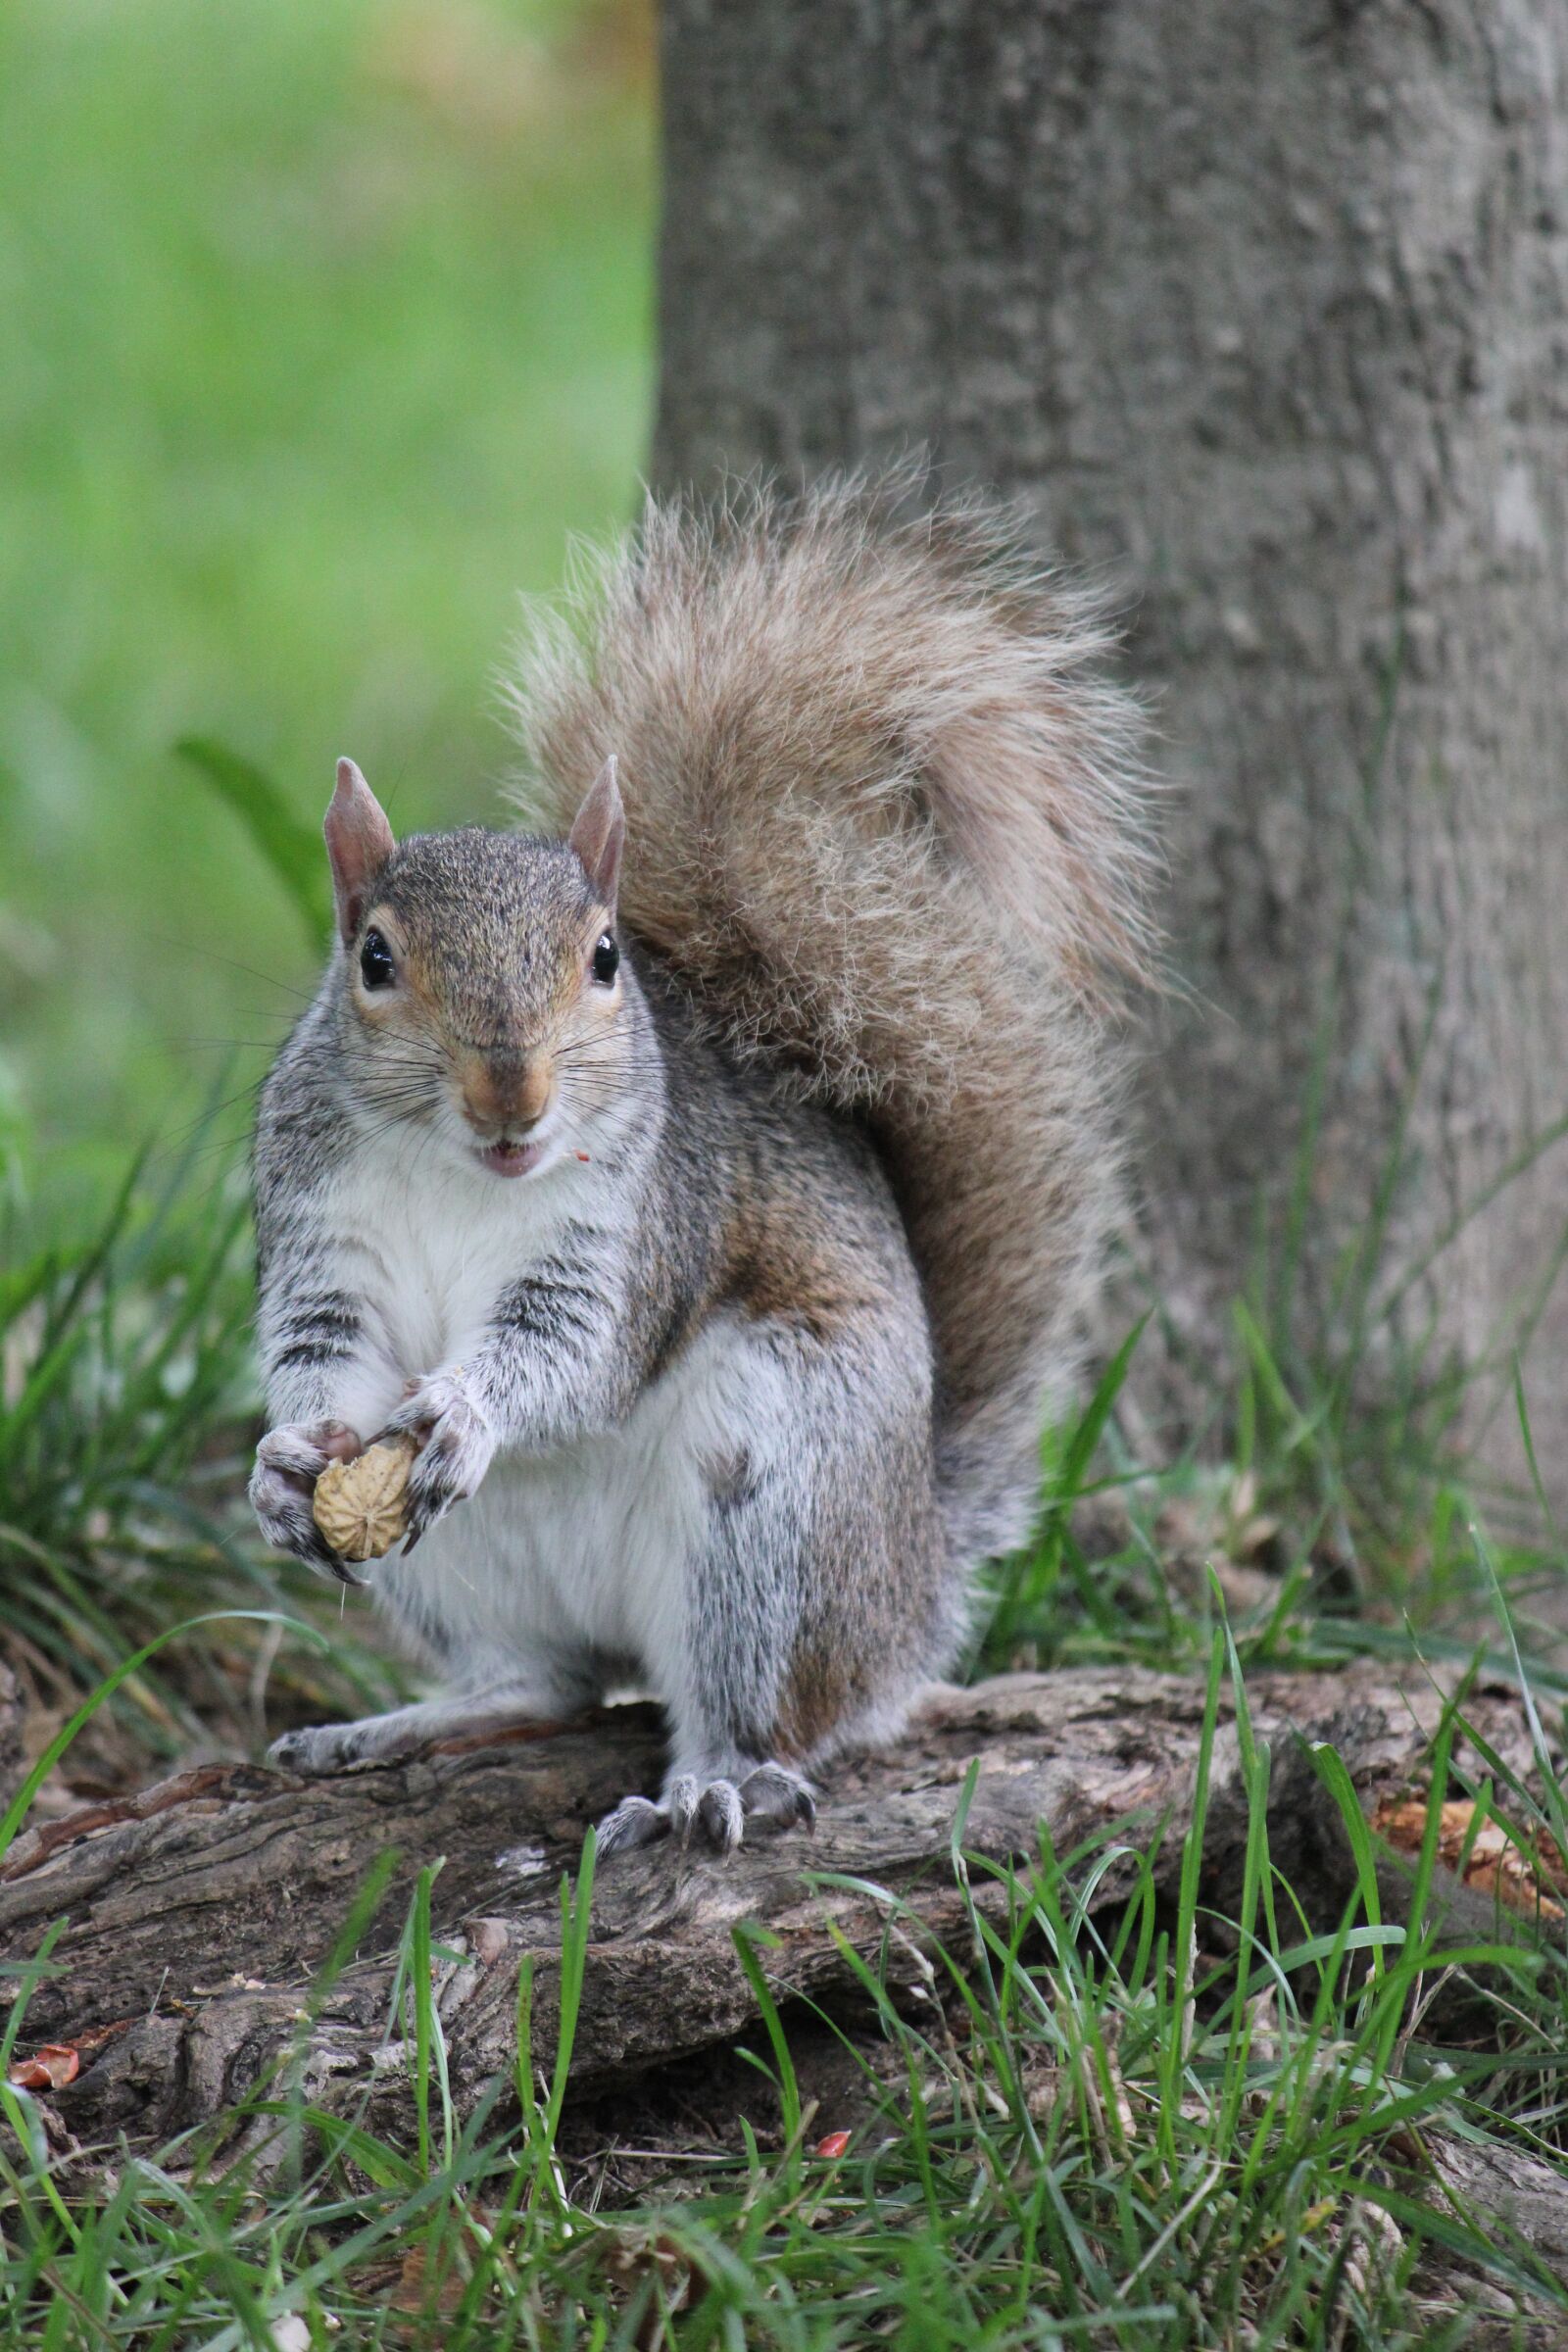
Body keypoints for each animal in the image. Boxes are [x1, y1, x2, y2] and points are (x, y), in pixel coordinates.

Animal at [249, 473, 1155, 1854]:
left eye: (605, 957)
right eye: (376, 960)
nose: (511, 1093)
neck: (464, 1177)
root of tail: (909, 1583)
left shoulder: (639, 1228)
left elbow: (574, 1356)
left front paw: (468, 1409)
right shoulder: (320, 1230)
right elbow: (324, 1352)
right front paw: (283, 1465)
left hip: (769, 1501)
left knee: (763, 1706)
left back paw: (712, 1783)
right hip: (461, 1577)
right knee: (549, 1679)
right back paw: (416, 1721)